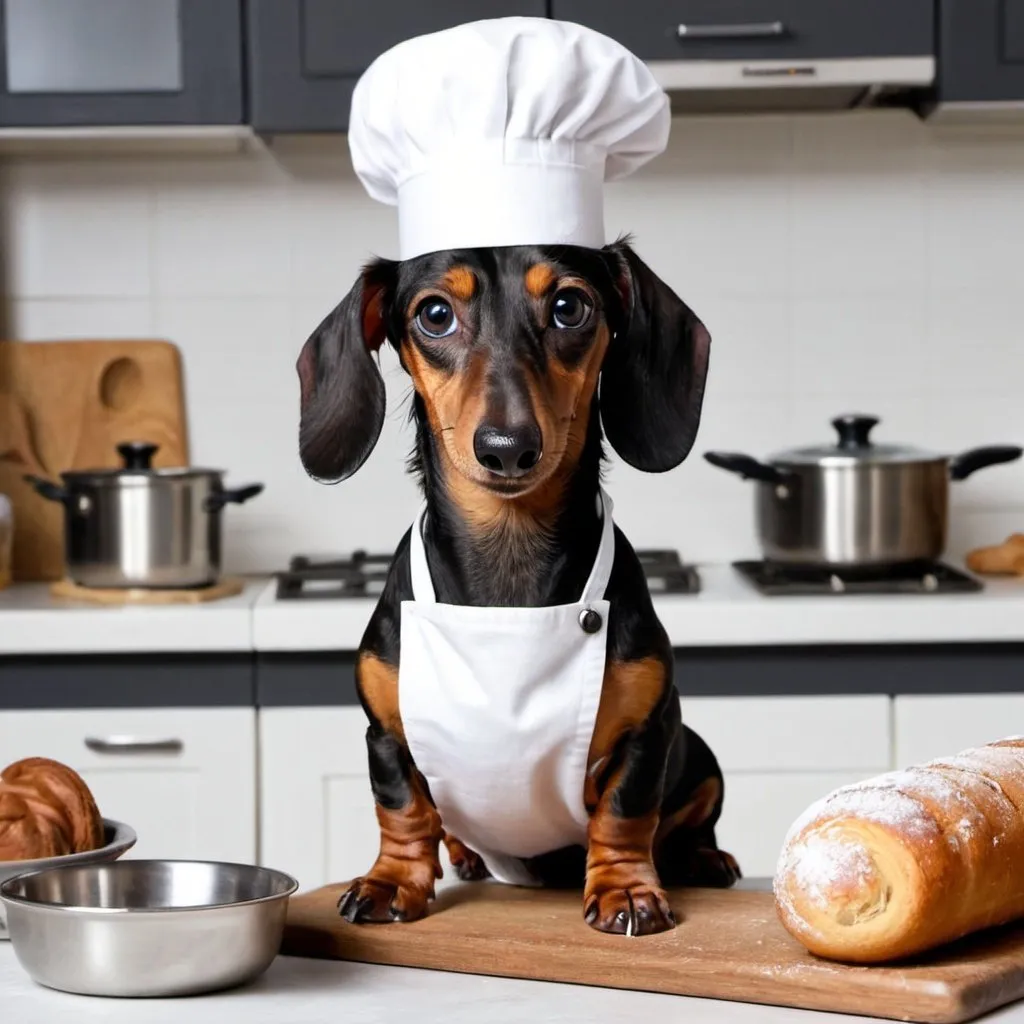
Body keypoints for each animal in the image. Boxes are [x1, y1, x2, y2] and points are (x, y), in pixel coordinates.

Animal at [294, 237, 737, 937]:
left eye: (569, 306)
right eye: (435, 315)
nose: (507, 447)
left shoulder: (652, 730)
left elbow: (626, 812)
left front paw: (625, 889)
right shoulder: (384, 734)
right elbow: (402, 810)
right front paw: (391, 882)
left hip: (700, 755)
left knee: (693, 818)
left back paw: (704, 858)